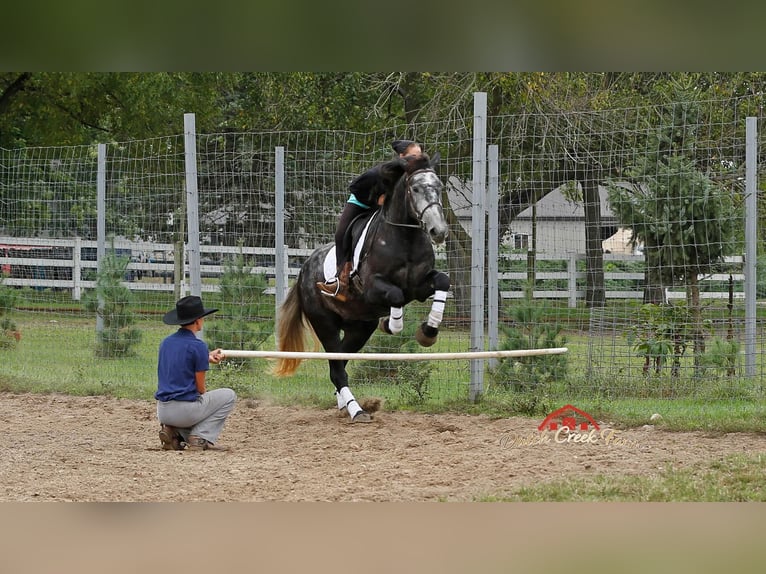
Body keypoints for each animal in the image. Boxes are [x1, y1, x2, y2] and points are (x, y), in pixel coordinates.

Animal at [272, 152, 450, 422]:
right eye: (415, 188)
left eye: (439, 187)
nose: (438, 231)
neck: (404, 238)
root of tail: (303, 270)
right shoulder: (372, 288)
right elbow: (395, 295)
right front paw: (391, 325)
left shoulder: (419, 287)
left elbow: (443, 281)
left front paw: (428, 331)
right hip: (325, 323)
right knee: (337, 367)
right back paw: (356, 410)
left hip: (359, 328)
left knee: (341, 361)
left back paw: (344, 403)